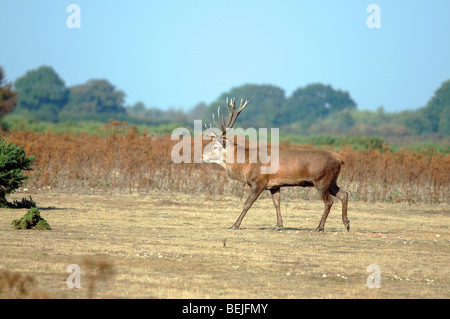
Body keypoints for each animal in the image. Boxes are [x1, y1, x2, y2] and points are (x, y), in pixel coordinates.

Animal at [201, 97, 352, 232]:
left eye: (215, 147)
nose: (202, 156)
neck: (245, 164)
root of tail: (341, 159)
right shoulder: (274, 185)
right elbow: (277, 204)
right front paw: (278, 225)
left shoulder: (259, 181)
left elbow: (247, 204)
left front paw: (234, 225)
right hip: (331, 180)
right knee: (344, 194)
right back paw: (346, 223)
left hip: (321, 179)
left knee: (329, 202)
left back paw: (319, 227)